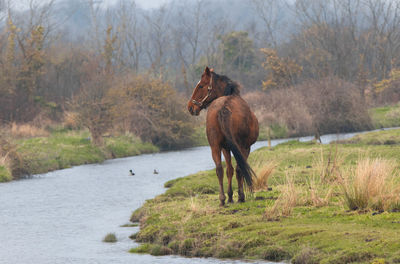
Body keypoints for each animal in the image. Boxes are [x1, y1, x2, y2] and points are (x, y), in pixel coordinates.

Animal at [188, 66, 260, 206]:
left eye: (201, 85)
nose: (190, 107)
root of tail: (223, 106)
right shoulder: (245, 148)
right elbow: (238, 169)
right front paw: (236, 196)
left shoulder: (225, 148)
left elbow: (228, 170)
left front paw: (230, 196)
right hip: (241, 147)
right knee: (239, 169)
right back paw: (241, 196)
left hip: (215, 146)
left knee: (219, 169)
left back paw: (222, 199)